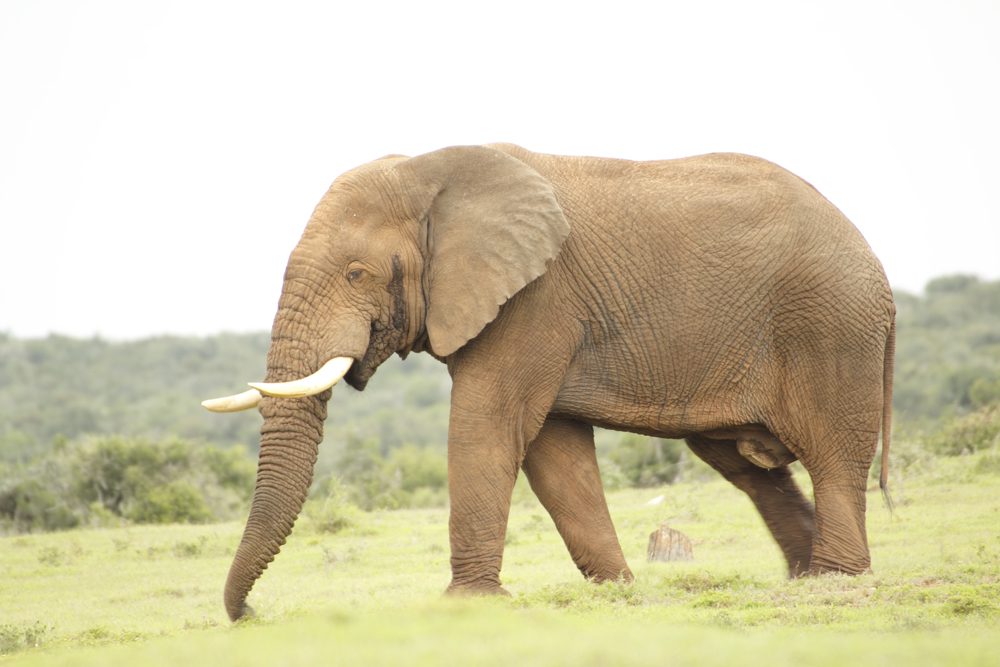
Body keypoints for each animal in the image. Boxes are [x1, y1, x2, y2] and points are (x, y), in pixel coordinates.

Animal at [204, 144, 895, 622]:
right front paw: (618, 591)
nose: (251, 615)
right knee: (750, 469)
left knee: (833, 459)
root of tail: (878, 267)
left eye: (356, 273)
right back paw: (803, 580)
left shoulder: (535, 299)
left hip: (831, 327)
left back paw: (837, 582)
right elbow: (553, 452)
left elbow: (487, 428)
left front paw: (468, 604)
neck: (430, 171)